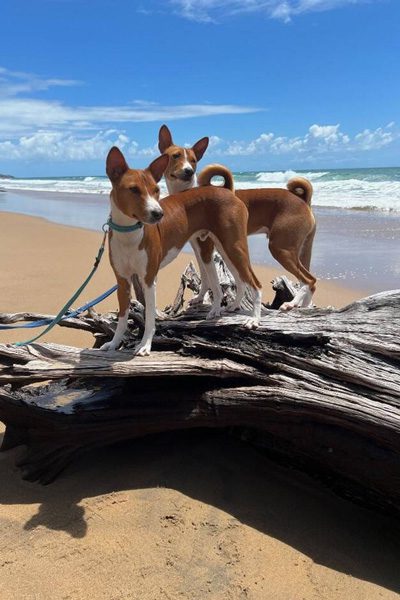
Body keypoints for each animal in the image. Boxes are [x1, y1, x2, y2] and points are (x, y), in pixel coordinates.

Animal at [101, 147, 262, 354]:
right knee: (240, 279)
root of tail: (226, 191)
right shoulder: (122, 281)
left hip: (234, 247)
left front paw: (145, 345)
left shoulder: (149, 279)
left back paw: (254, 319)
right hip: (225, 248)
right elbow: (122, 319)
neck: (129, 234)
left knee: (255, 283)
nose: (159, 214)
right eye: (134, 189)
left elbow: (150, 317)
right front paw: (114, 343)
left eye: (156, 190)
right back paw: (232, 306)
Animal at [158, 124, 318, 312]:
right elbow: (204, 276)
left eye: (193, 161)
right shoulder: (199, 247)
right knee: (311, 281)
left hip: (280, 247)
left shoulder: (206, 248)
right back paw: (305, 307)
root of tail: (302, 200)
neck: (186, 197)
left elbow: (211, 278)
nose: (189, 171)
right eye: (175, 156)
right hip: (302, 249)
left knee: (307, 280)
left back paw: (291, 303)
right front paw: (199, 298)